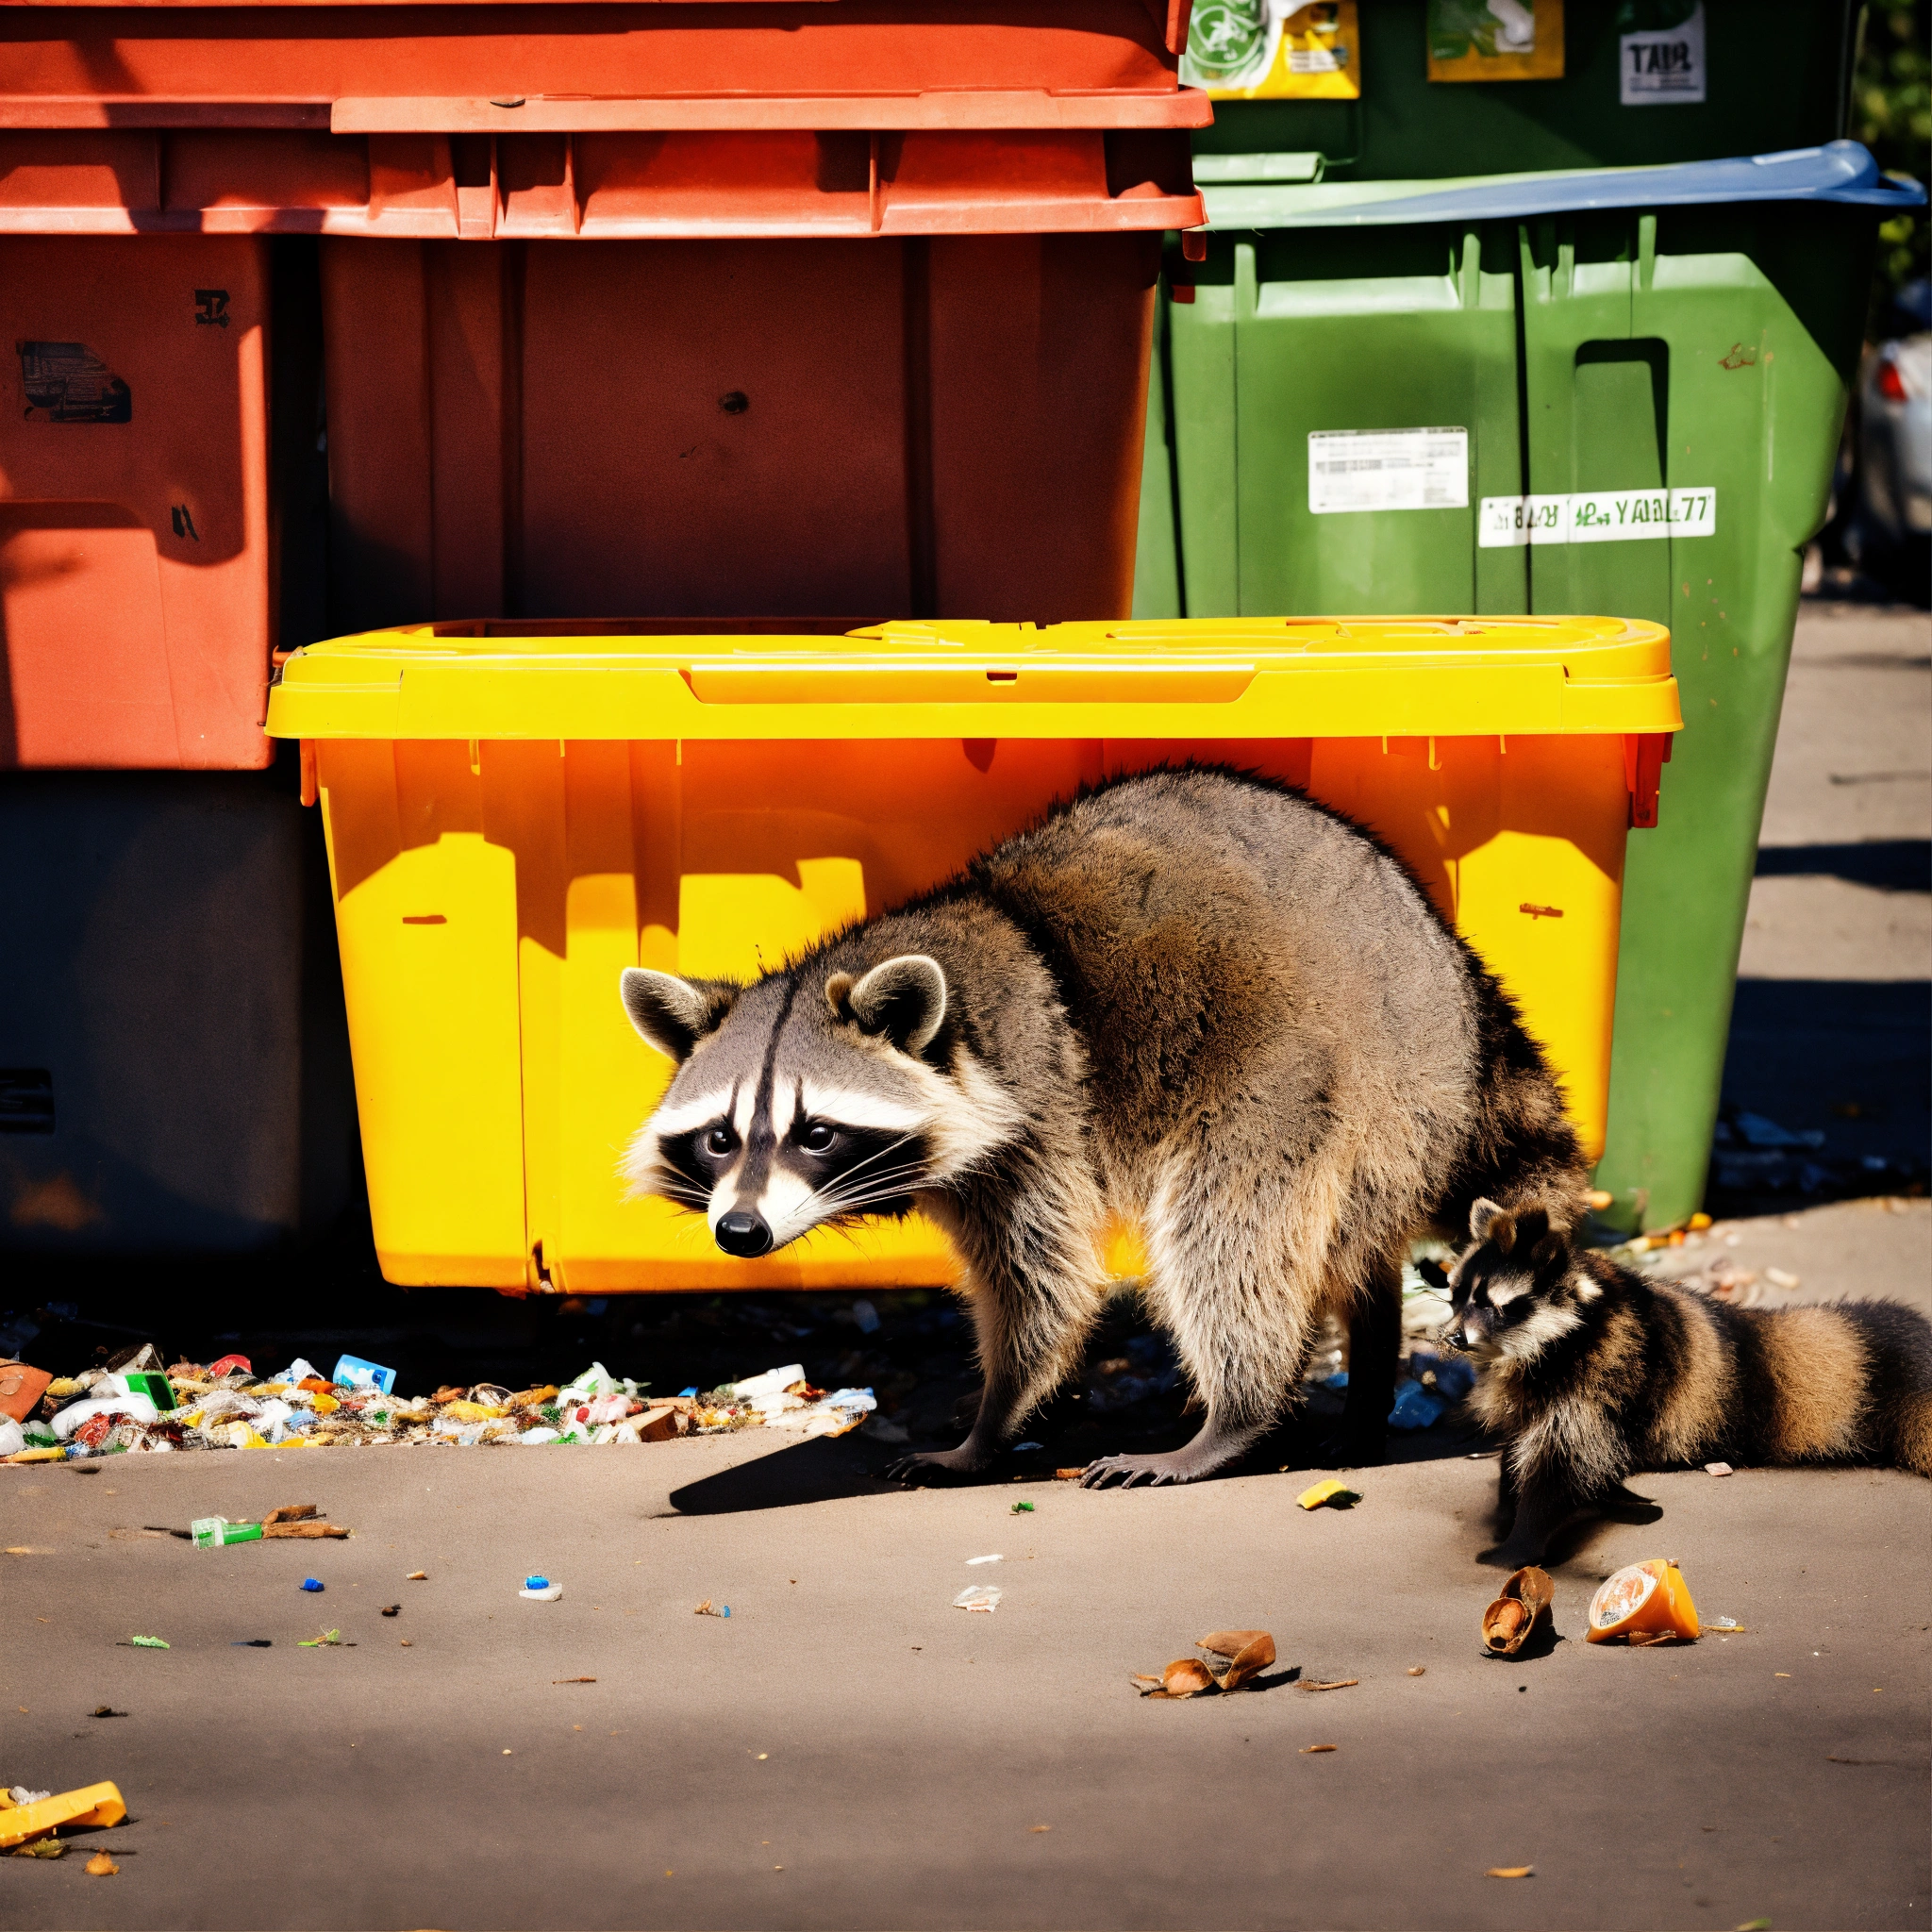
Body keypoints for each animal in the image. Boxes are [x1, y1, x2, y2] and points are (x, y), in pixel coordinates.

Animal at [618, 765, 1589, 1487]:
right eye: (719, 1137)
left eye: (815, 1133)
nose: (741, 1232)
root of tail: (1454, 978)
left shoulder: (1040, 1113)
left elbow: (1043, 1288)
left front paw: (993, 1422)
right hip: (1390, 1124)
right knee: (1347, 1242)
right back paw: (1370, 1362)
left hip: (1321, 1072)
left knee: (1229, 1227)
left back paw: (1240, 1412)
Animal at [1442, 1199, 1932, 1565]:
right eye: (1456, 1297)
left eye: (1494, 1306)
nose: (1452, 1337)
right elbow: (1520, 1443)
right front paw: (1507, 1504)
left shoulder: (1599, 1381)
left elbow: (1562, 1467)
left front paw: (1524, 1537)